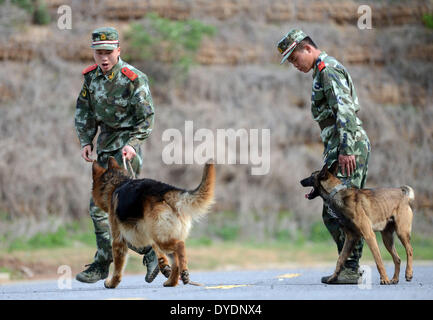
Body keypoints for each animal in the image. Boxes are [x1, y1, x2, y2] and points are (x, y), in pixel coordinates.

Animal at [91, 157, 214, 288]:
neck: (117, 184)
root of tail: (167, 191)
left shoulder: (118, 240)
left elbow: (117, 268)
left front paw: (112, 283)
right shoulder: (148, 233)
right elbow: (157, 252)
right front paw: (162, 265)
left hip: (161, 238)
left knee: (180, 245)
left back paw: (184, 272)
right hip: (158, 234)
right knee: (175, 260)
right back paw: (172, 281)